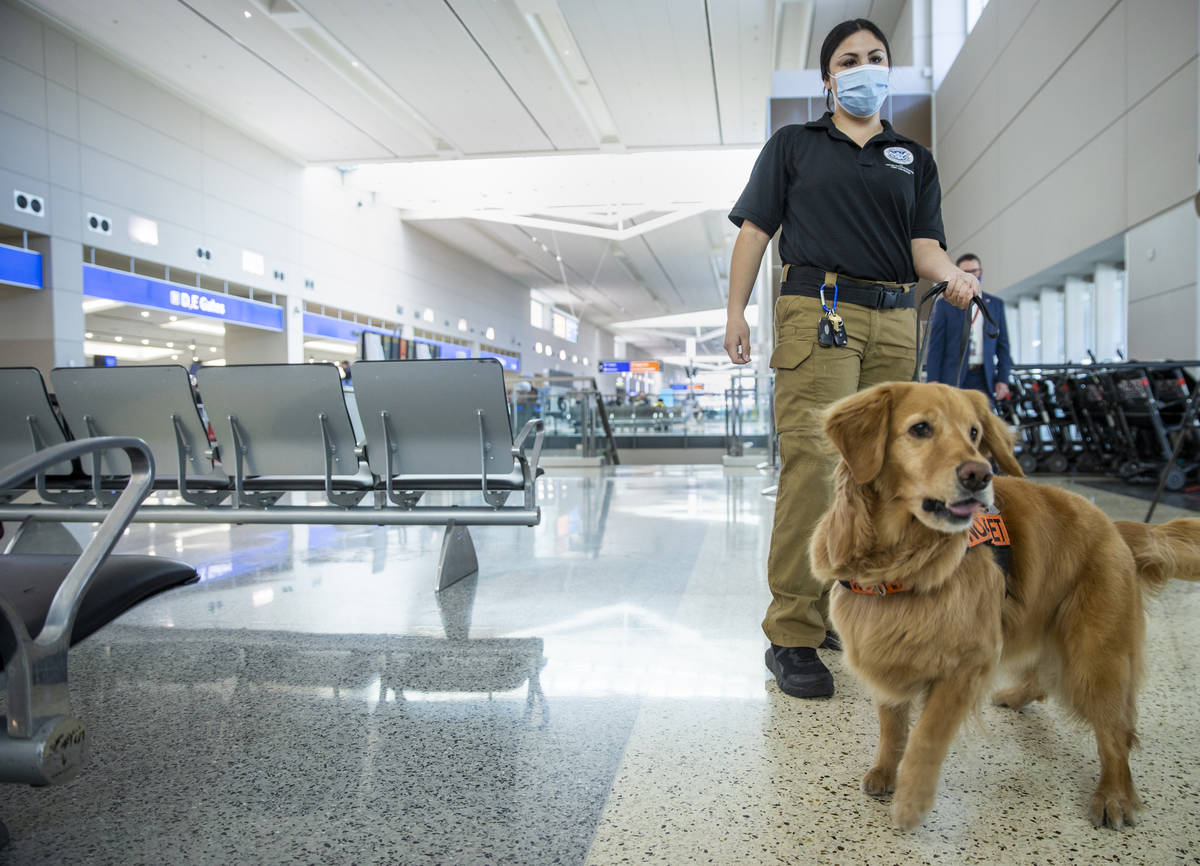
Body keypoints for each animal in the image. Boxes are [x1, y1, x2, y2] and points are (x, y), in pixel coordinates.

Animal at [806, 381, 1200, 825]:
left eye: (975, 433)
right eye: (921, 428)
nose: (980, 474)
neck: (897, 565)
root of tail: (1114, 527)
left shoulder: (969, 661)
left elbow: (928, 733)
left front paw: (911, 800)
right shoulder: (885, 649)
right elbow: (893, 726)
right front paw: (886, 772)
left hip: (1095, 655)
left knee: (1116, 732)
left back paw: (1113, 795)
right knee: (1046, 675)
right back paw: (1017, 695)